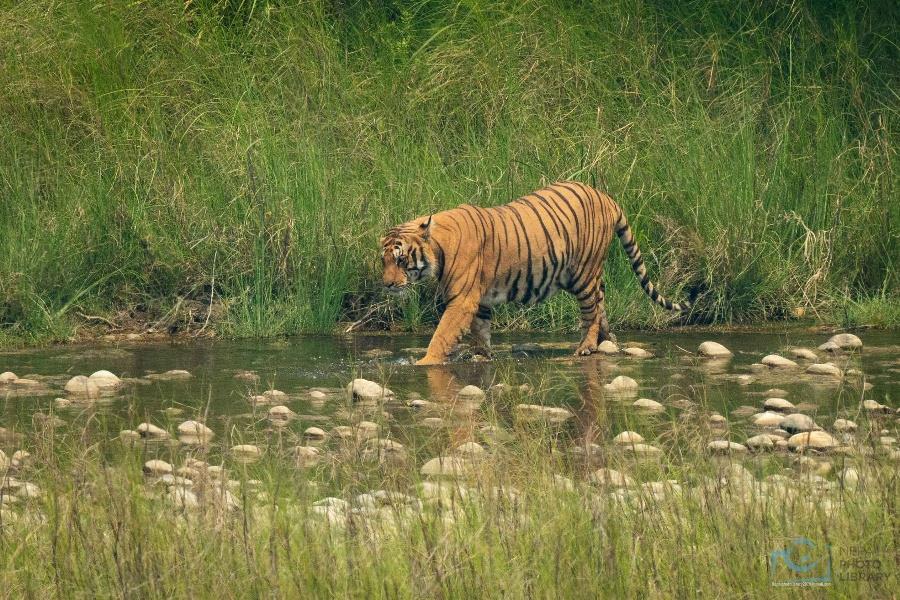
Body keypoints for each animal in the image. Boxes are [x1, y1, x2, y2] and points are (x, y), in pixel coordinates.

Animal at [376, 179, 692, 366]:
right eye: (384, 261)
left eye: (401, 260)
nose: (388, 285)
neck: (439, 246)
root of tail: (606, 197)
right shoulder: (481, 299)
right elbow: (480, 331)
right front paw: (482, 356)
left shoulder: (462, 299)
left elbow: (442, 333)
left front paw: (426, 362)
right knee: (601, 304)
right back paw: (607, 341)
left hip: (582, 274)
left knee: (591, 311)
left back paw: (586, 347)